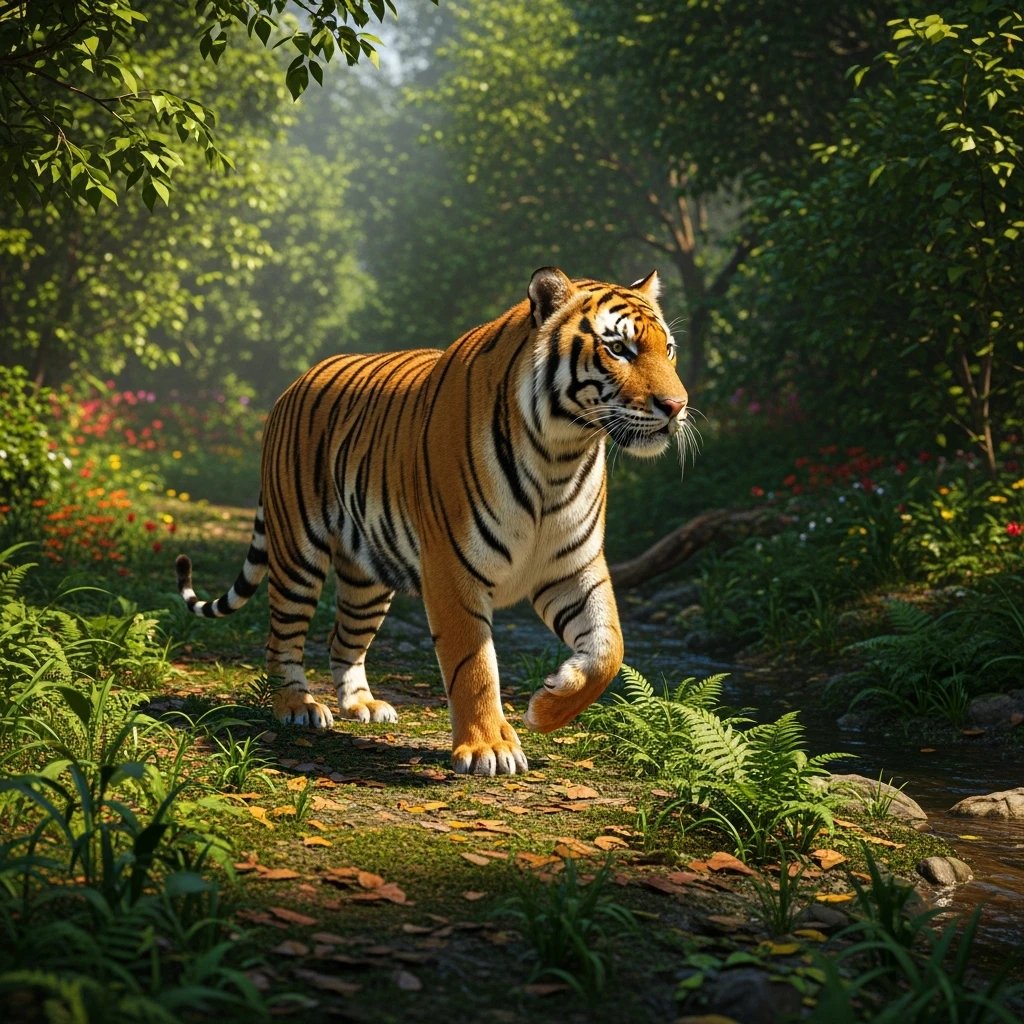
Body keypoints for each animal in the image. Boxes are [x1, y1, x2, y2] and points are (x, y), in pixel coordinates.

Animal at [175, 267, 689, 775]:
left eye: (668, 349)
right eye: (618, 348)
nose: (677, 406)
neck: (560, 454)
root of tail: (294, 383)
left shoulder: (573, 566)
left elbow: (609, 648)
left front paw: (546, 708)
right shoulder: (453, 568)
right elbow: (474, 665)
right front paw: (488, 748)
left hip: (367, 579)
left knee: (343, 640)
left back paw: (362, 705)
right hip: (298, 553)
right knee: (282, 636)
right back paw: (297, 706)